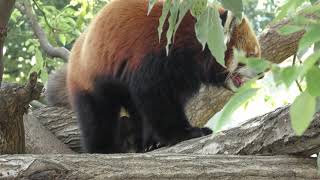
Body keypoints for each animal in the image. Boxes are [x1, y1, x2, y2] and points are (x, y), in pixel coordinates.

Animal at [46, 0, 260, 153]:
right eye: (251, 55)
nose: (262, 73)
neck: (194, 43)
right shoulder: (159, 50)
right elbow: (154, 95)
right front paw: (185, 133)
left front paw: (157, 140)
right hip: (89, 77)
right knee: (97, 115)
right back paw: (103, 148)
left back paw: (144, 143)